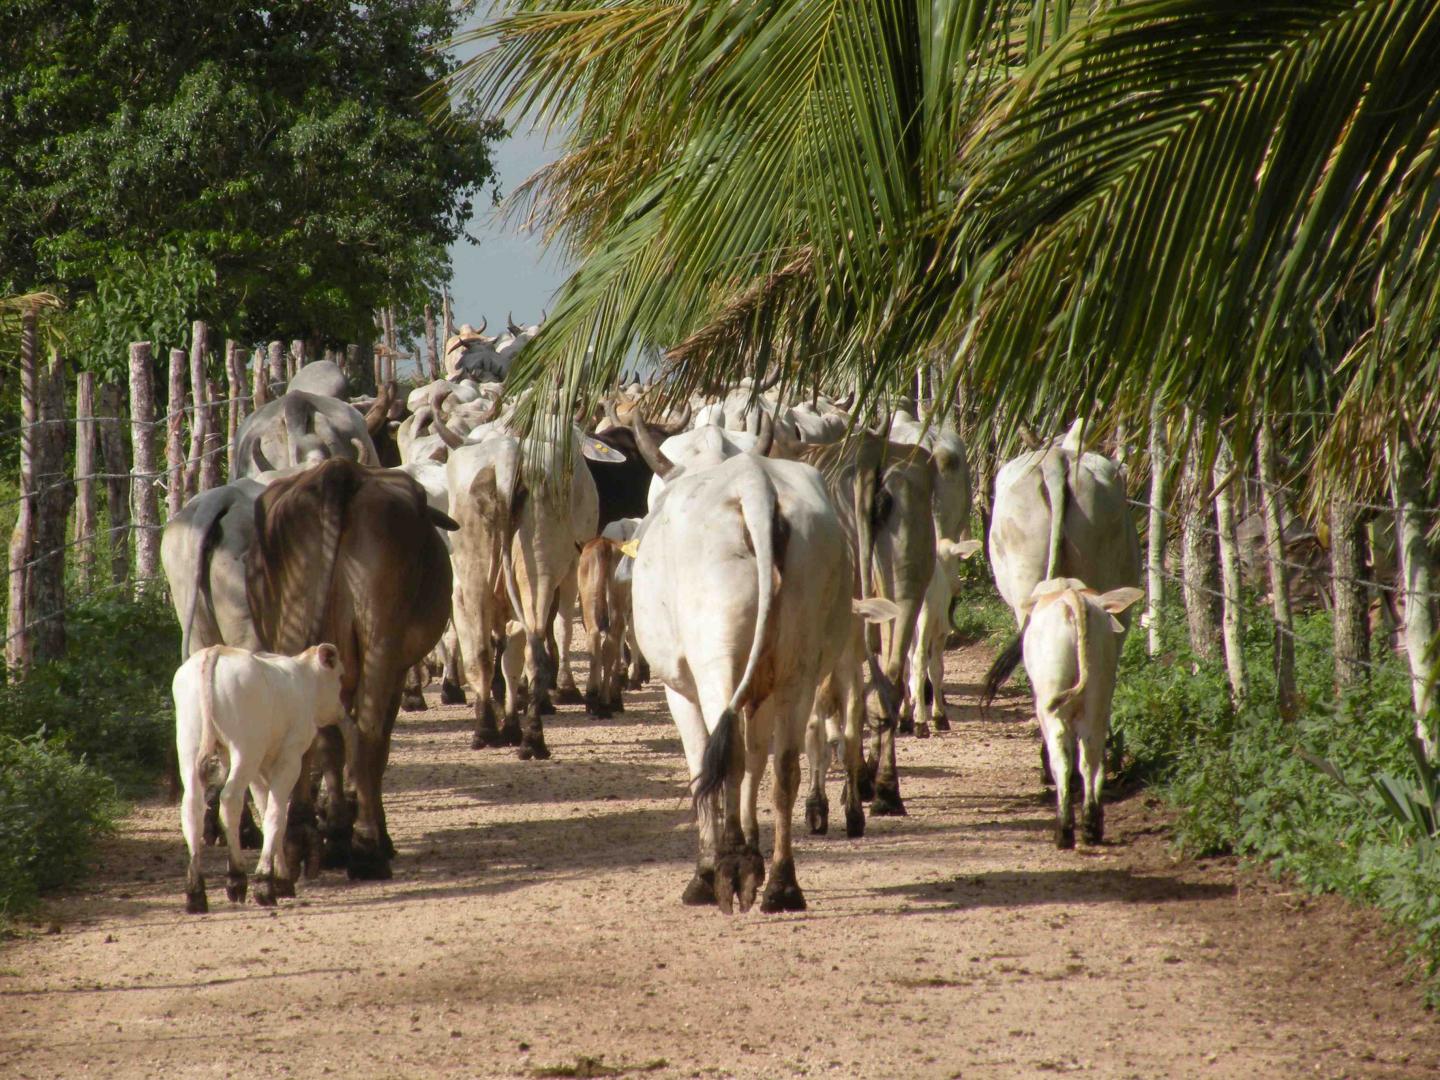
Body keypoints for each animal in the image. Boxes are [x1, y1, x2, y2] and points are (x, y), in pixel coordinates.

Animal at [175, 643, 353, 913]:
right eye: (340, 675)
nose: (340, 711)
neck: (303, 680)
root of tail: (215, 651)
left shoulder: (260, 769)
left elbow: (265, 806)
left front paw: (281, 879)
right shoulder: (289, 759)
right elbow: (276, 814)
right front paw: (267, 883)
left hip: (189, 746)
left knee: (192, 806)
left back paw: (195, 892)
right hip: (245, 750)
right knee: (230, 800)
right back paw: (236, 878)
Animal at [627, 418, 887, 912]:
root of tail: (753, 483)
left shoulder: (680, 690)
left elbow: (705, 763)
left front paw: (709, 868)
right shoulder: (764, 686)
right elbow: (757, 759)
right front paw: (751, 850)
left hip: (718, 663)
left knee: (725, 753)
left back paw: (727, 871)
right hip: (797, 671)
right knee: (784, 765)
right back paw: (782, 884)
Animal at [1020, 579, 1144, 847]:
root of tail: (1071, 598)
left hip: (1051, 704)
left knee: (1063, 759)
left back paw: (1064, 830)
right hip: (1098, 697)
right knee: (1091, 757)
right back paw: (1091, 826)